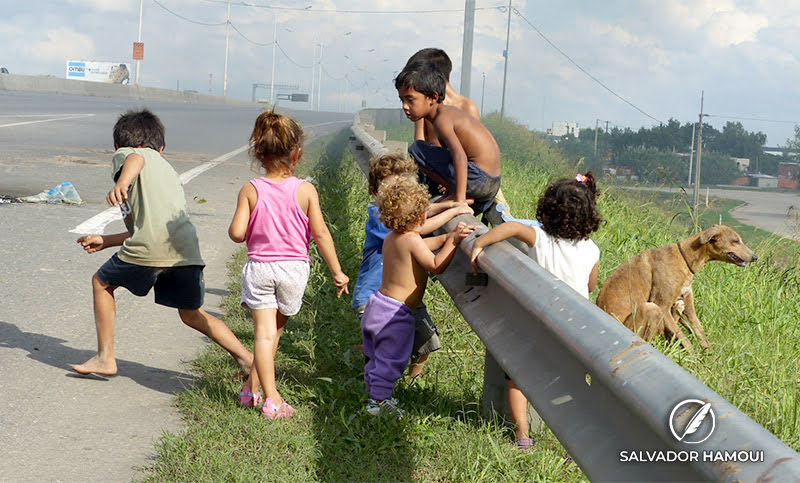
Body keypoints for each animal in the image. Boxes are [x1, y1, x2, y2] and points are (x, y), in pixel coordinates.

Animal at [596, 225, 760, 354]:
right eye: (735, 241)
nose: (755, 257)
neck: (685, 259)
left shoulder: (688, 308)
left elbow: (701, 335)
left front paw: (710, 361)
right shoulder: (662, 306)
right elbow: (685, 339)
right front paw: (694, 360)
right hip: (649, 310)